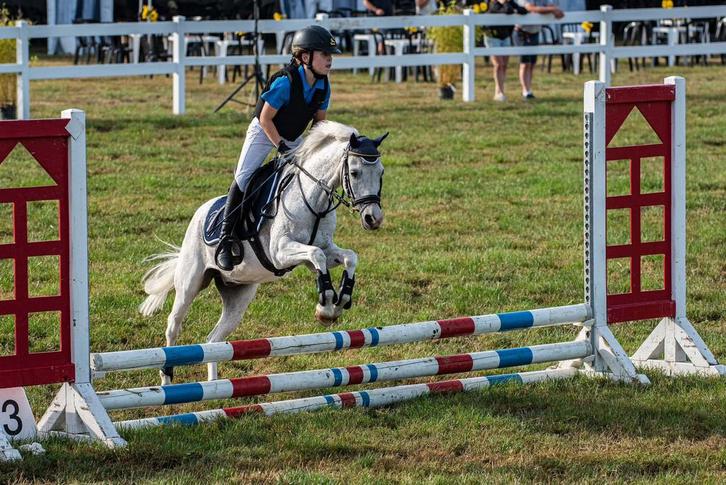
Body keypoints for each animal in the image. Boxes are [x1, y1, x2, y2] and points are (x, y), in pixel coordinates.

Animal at [138, 121, 387, 385]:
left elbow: (348, 256)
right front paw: (326, 306)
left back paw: (214, 385)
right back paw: (167, 378)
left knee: (213, 340)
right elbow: (316, 256)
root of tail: (200, 212)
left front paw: (340, 301)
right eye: (355, 173)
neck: (314, 198)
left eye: (381, 172)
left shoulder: (326, 249)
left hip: (238, 294)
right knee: (173, 325)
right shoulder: (281, 252)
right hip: (190, 282)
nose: (373, 218)